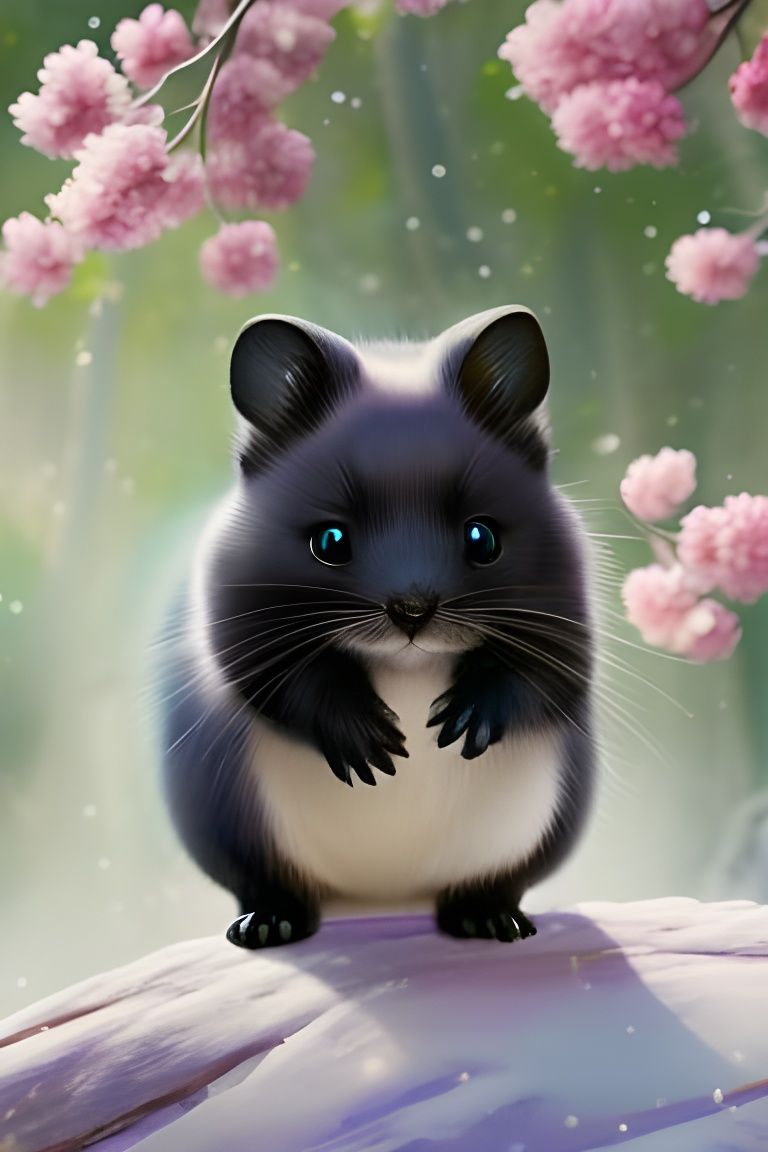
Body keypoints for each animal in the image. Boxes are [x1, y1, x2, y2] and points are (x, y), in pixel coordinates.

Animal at [160, 306, 596, 949]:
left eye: (482, 538)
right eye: (329, 541)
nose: (412, 609)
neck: (406, 662)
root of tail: (383, 901)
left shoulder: (566, 620)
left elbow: (535, 672)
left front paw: (461, 722)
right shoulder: (237, 622)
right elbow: (288, 678)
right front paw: (374, 745)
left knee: (490, 884)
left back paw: (490, 920)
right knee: (274, 889)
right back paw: (267, 925)